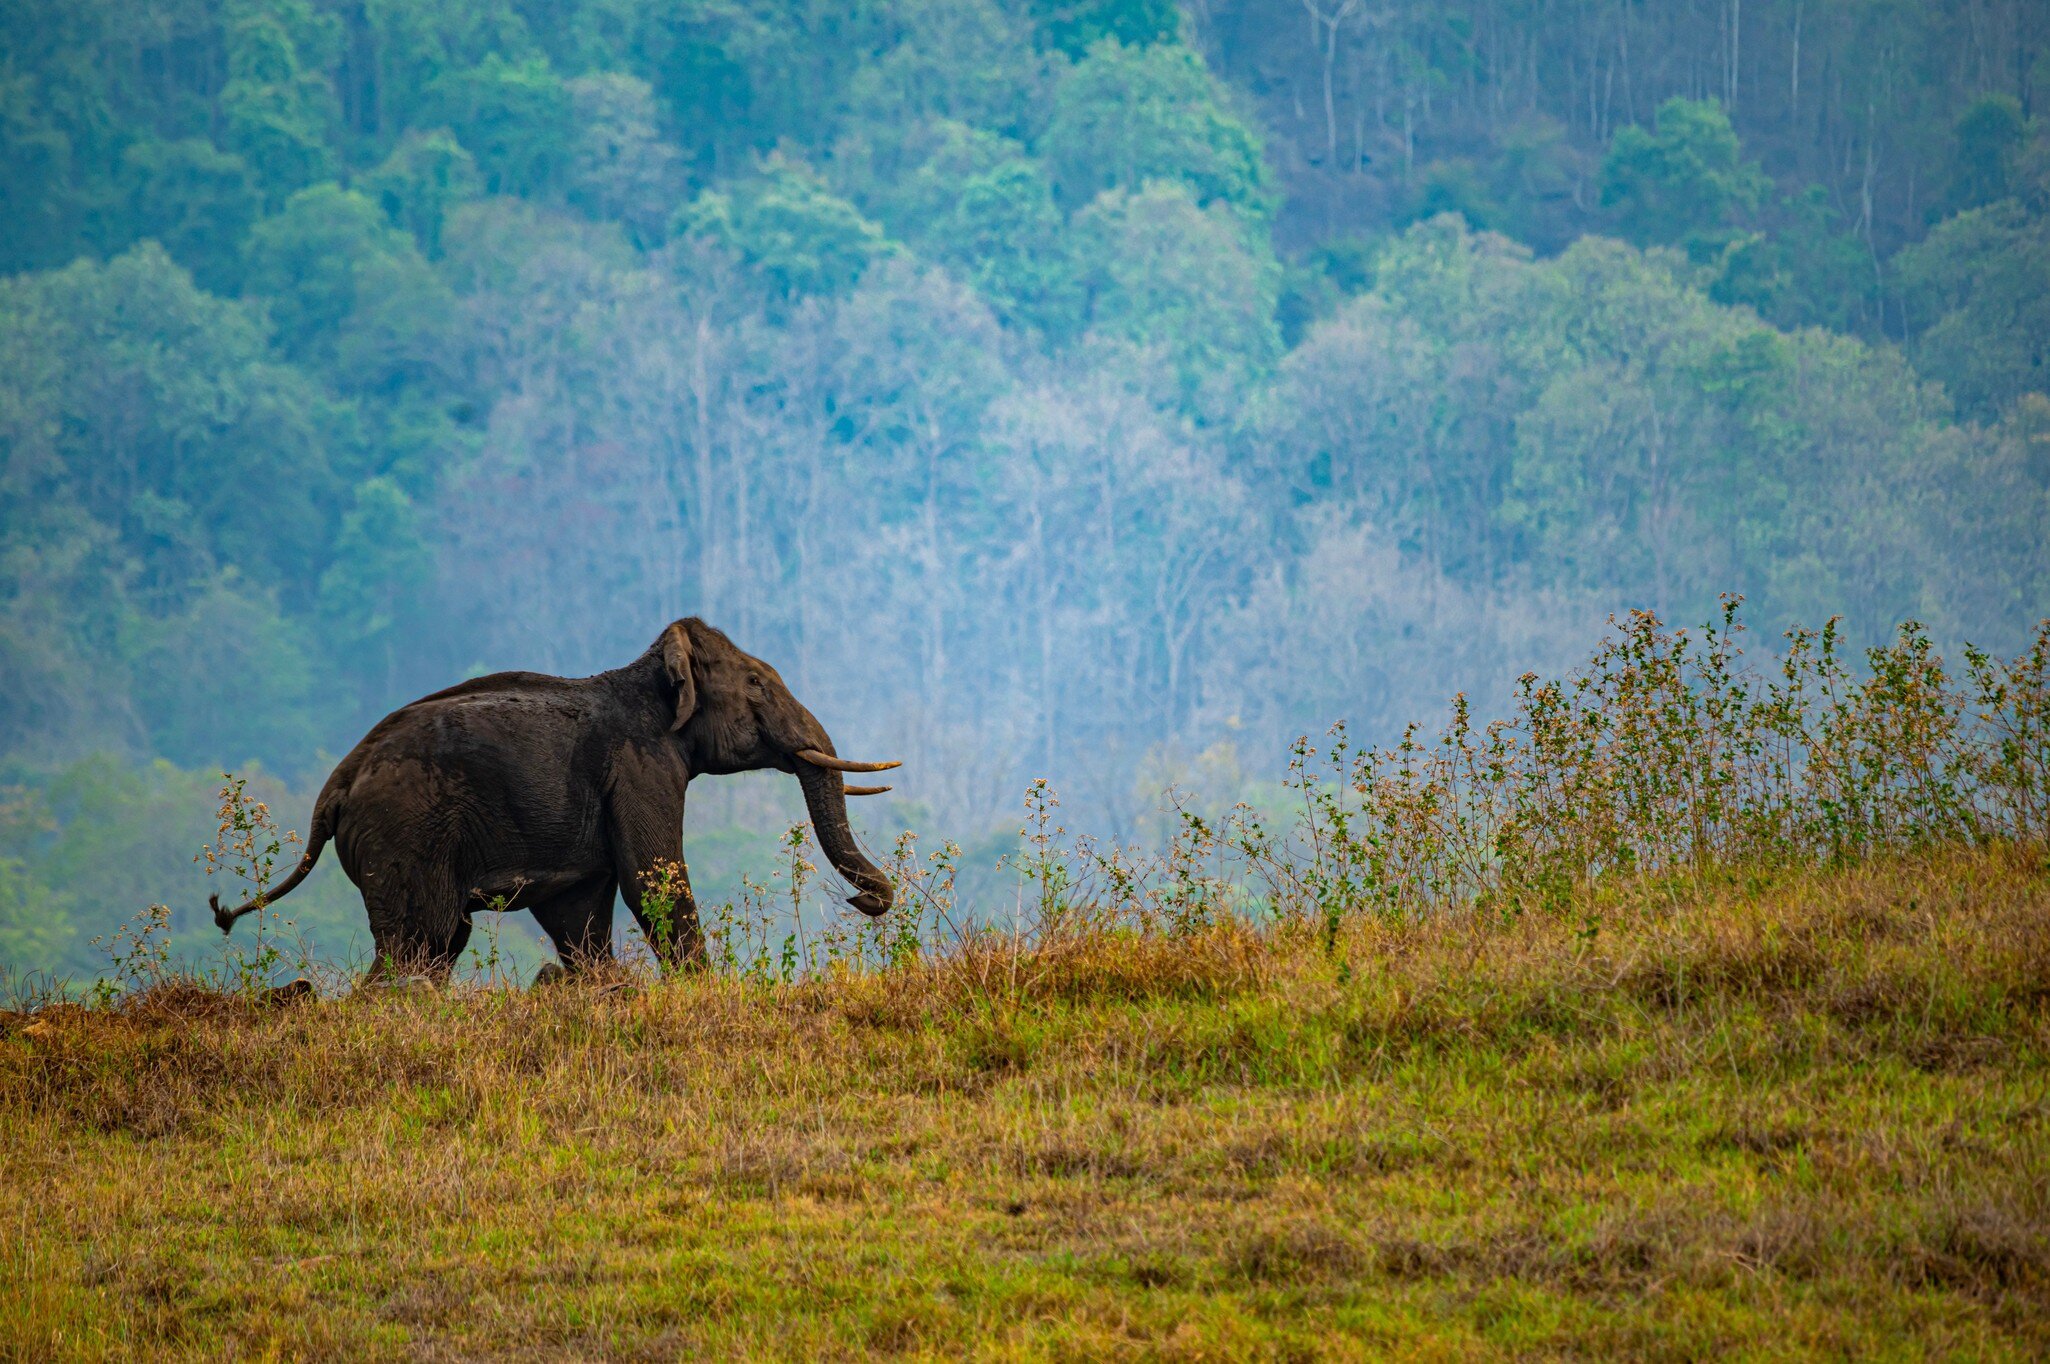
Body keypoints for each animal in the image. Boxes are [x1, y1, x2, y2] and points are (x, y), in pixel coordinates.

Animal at [211, 618, 899, 981]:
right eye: (756, 682)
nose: (862, 901)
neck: (644, 672)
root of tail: (333, 789)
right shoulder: (640, 767)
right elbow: (652, 879)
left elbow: (580, 914)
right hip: (403, 836)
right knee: (422, 942)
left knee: (436, 945)